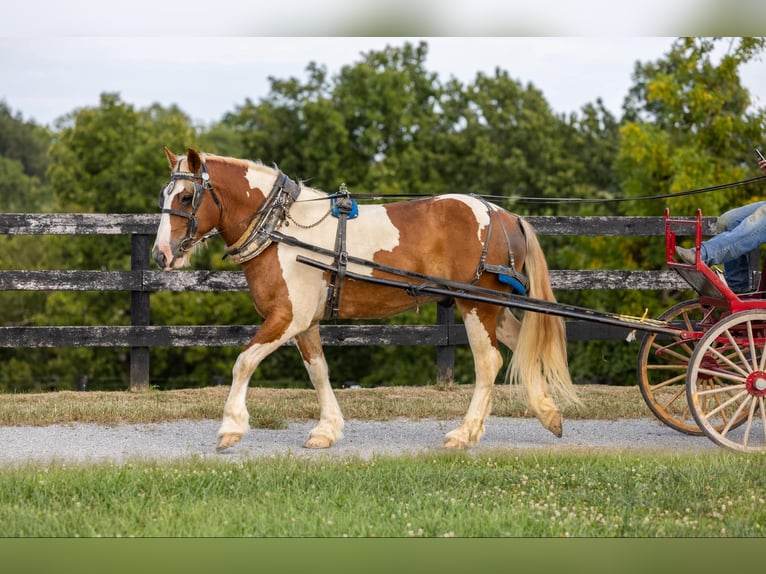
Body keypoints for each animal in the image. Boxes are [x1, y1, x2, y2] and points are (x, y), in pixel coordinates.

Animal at [152, 148, 579, 451]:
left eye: (187, 196)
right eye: (165, 195)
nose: (161, 255)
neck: (283, 230)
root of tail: (503, 215)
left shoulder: (287, 316)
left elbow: (244, 362)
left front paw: (230, 428)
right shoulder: (305, 321)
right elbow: (318, 371)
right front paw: (326, 430)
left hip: (476, 303)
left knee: (488, 361)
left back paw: (465, 433)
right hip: (495, 307)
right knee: (520, 345)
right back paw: (548, 415)